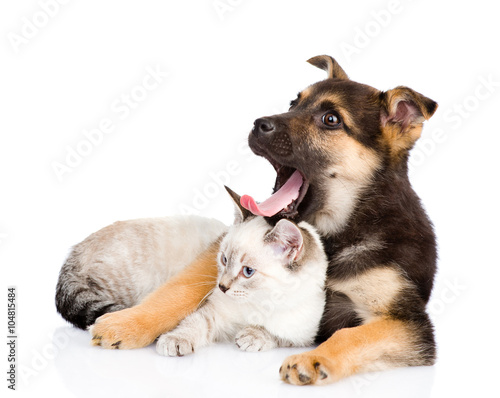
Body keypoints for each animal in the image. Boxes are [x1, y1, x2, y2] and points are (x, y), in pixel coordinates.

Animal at [56, 55, 436, 386]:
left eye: (331, 120)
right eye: (293, 102)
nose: (258, 124)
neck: (334, 233)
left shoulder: (407, 323)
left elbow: (351, 336)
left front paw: (313, 360)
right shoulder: (218, 254)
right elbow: (179, 291)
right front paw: (130, 323)